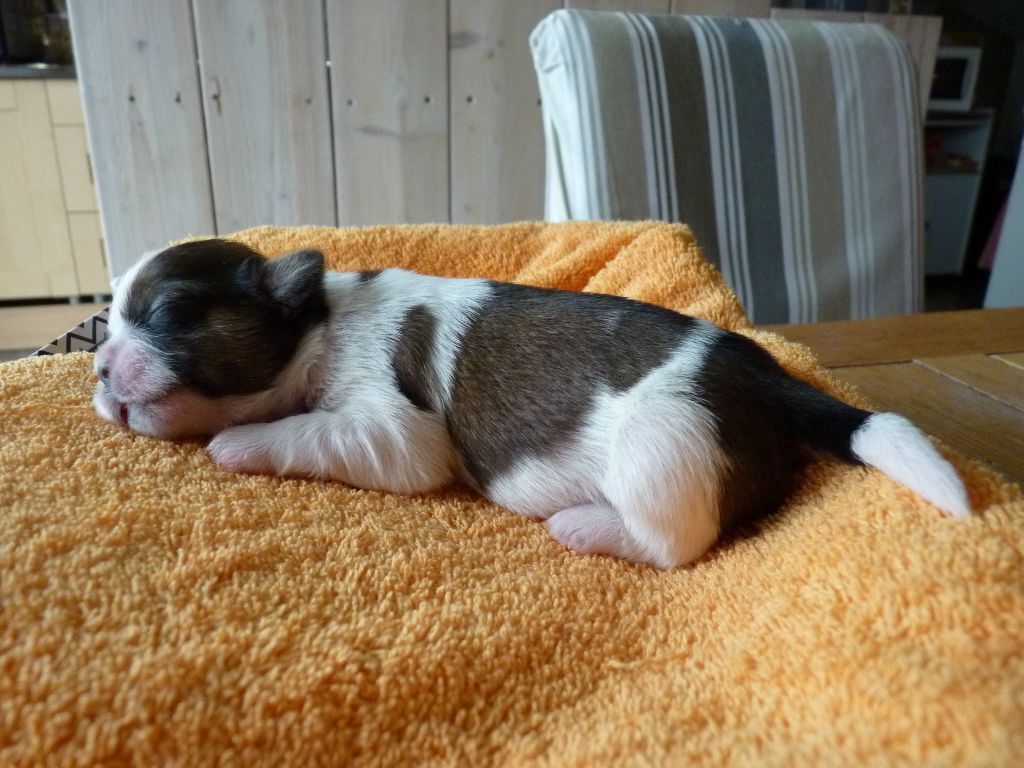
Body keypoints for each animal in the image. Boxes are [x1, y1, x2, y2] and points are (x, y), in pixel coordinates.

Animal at [93, 239, 970, 568]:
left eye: (169, 314)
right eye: (108, 320)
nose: (98, 366)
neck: (319, 321)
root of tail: (775, 382)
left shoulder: (394, 431)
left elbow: (305, 428)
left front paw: (241, 444)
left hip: (665, 444)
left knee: (677, 540)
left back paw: (585, 525)